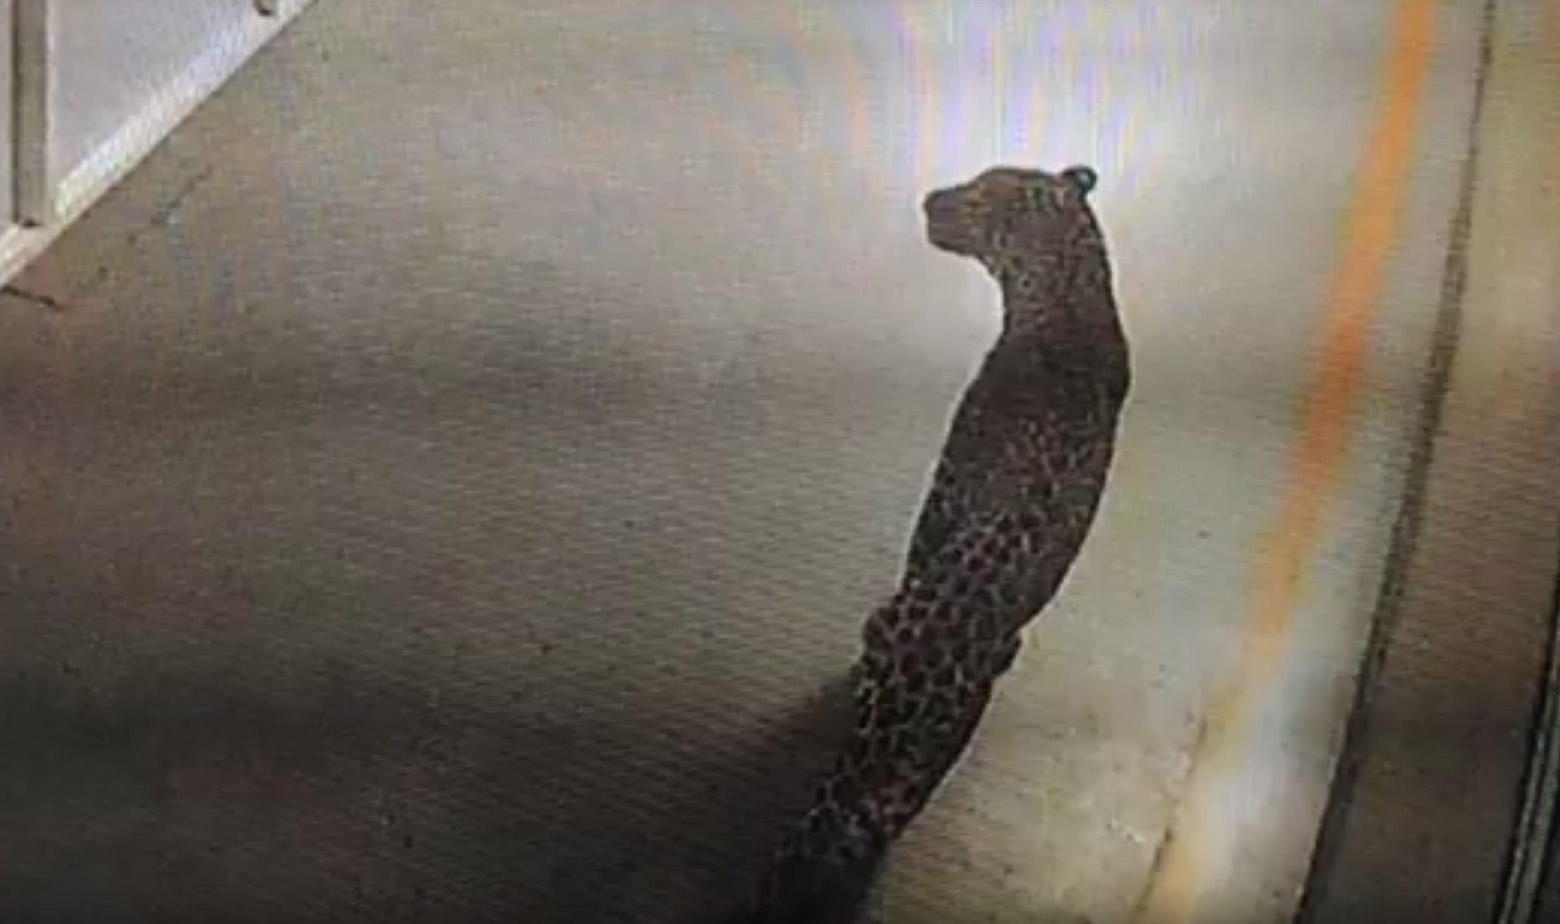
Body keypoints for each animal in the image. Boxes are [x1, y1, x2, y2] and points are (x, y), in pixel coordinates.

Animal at [726, 163, 1133, 924]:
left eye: (975, 197)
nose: (929, 200)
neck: (1070, 292)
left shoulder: (947, 481)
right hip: (952, 727)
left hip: (882, 659)